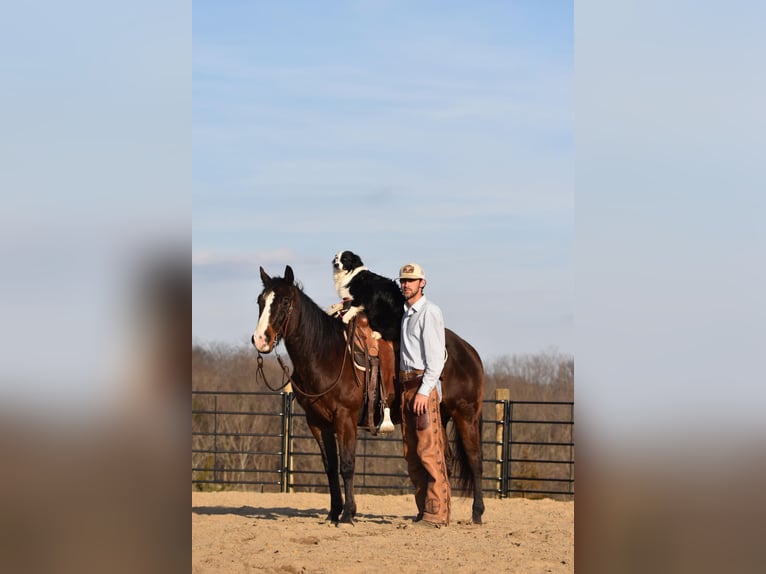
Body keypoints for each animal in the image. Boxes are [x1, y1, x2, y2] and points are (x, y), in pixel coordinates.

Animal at [249, 266, 486, 528]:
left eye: (285, 301)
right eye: (260, 301)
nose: (260, 339)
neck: (325, 353)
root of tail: (469, 351)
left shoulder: (345, 418)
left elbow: (347, 466)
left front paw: (347, 515)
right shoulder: (317, 422)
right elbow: (330, 467)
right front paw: (333, 512)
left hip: (465, 415)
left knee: (474, 460)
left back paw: (476, 513)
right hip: (439, 417)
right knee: (443, 461)